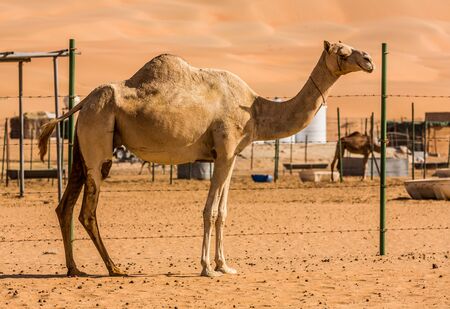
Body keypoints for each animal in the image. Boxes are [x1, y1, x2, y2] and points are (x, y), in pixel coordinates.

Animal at [38, 40, 374, 276]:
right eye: (343, 52)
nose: (369, 60)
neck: (255, 108)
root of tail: (81, 104)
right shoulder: (224, 150)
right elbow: (210, 211)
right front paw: (207, 268)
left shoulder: (231, 155)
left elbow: (223, 211)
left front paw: (226, 265)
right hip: (99, 141)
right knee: (88, 210)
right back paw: (114, 268)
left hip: (82, 146)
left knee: (65, 205)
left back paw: (74, 268)